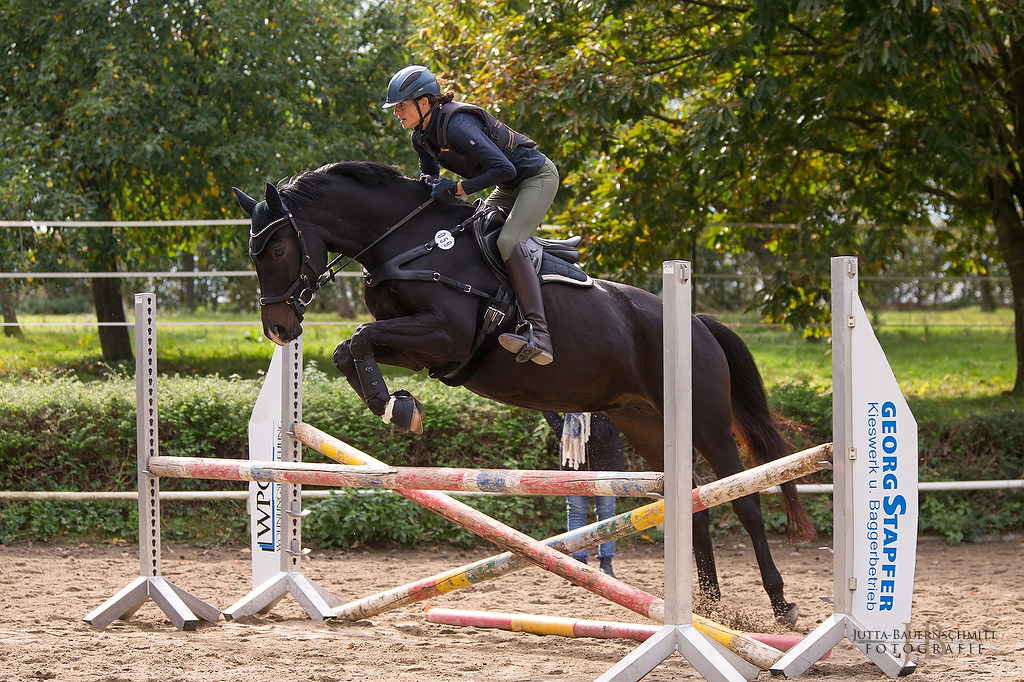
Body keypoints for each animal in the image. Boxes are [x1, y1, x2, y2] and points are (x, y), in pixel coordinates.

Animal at [234, 159, 815, 622]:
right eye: (253, 251)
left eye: (279, 247)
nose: (279, 329)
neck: (409, 241)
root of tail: (697, 322)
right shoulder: (421, 347)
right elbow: (348, 349)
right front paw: (396, 405)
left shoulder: (444, 335)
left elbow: (359, 336)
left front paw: (397, 409)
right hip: (649, 424)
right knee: (693, 501)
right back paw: (710, 609)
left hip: (707, 421)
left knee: (745, 500)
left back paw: (778, 604)